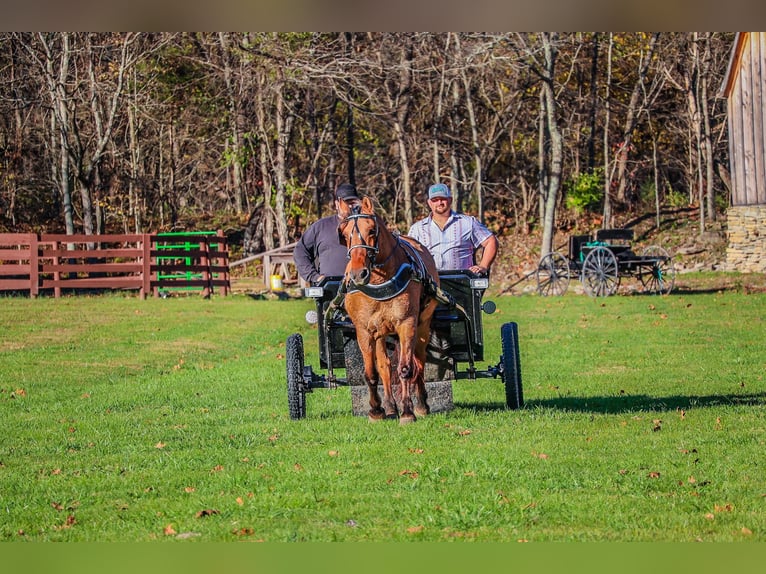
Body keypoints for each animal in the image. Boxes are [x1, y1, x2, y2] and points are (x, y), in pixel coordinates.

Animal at [340, 196, 440, 426]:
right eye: (344, 234)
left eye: (371, 230)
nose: (357, 274)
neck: (380, 282)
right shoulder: (364, 331)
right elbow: (372, 373)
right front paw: (376, 410)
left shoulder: (407, 324)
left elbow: (405, 369)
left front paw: (408, 411)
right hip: (380, 333)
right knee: (385, 366)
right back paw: (390, 407)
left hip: (423, 325)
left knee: (419, 361)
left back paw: (421, 404)